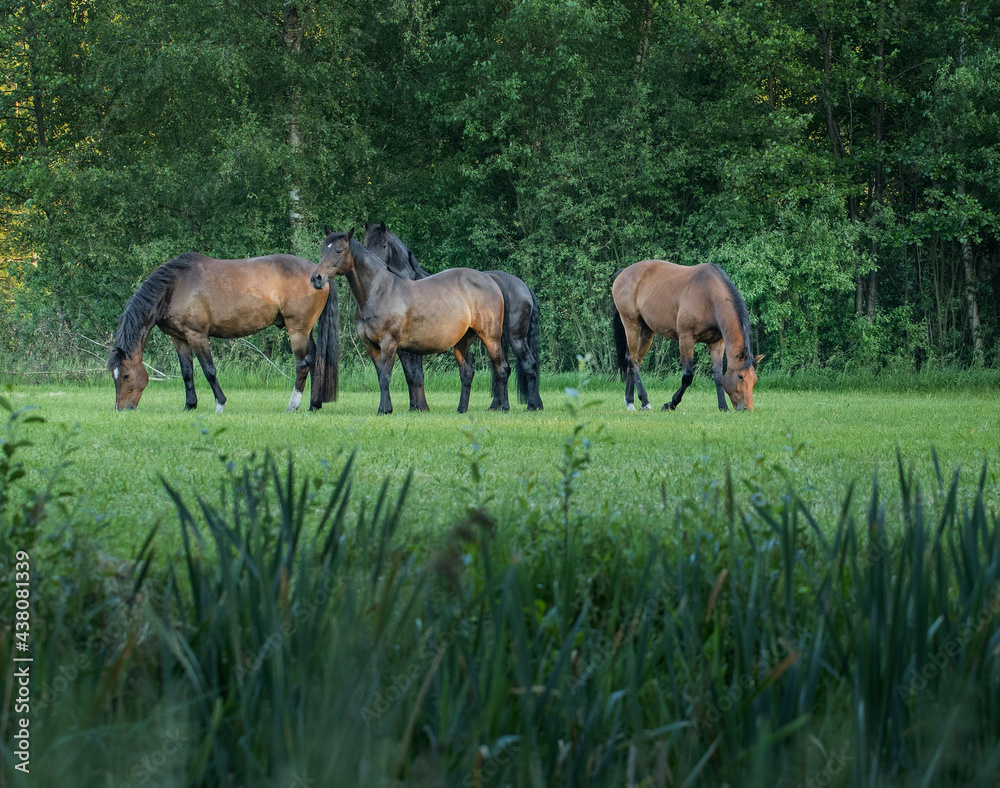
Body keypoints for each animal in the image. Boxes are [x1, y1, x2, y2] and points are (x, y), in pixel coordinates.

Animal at [108, 252, 338, 412]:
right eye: (114, 375)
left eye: (126, 375)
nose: (122, 409)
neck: (175, 286)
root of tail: (318, 275)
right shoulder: (179, 338)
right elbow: (187, 373)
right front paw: (189, 406)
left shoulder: (197, 335)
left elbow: (209, 370)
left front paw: (220, 404)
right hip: (305, 330)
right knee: (314, 360)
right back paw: (313, 405)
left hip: (297, 329)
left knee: (303, 364)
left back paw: (293, 405)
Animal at [310, 226, 512, 416]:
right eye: (323, 250)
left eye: (339, 250)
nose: (316, 278)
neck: (378, 291)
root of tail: (489, 279)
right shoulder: (371, 346)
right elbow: (382, 376)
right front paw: (389, 408)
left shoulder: (389, 343)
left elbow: (386, 378)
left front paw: (384, 410)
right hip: (462, 342)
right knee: (467, 373)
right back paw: (462, 409)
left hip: (491, 338)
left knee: (502, 369)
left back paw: (502, 407)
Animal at [364, 219, 544, 410]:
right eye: (366, 245)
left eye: (384, 245)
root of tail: (522, 286)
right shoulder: (402, 348)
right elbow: (410, 376)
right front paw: (415, 407)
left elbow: (416, 375)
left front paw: (421, 407)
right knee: (503, 368)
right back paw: (499, 405)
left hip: (516, 337)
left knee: (528, 364)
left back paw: (532, 405)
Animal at [608, 262, 764, 416]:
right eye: (740, 376)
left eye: (754, 379)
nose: (746, 409)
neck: (709, 295)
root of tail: (624, 272)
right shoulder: (686, 338)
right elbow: (687, 376)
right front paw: (670, 404)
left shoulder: (716, 343)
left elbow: (718, 376)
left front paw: (723, 407)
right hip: (631, 324)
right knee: (633, 360)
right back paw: (645, 401)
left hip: (647, 331)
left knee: (635, 360)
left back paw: (630, 401)